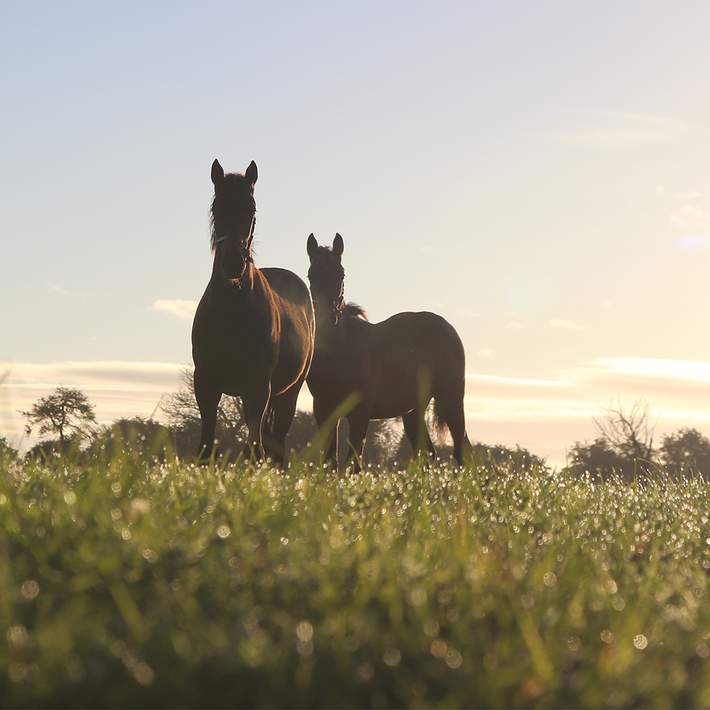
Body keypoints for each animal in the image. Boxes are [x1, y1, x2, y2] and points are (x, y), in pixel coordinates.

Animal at [195, 159, 318, 464]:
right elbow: (205, 446)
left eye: (251, 209)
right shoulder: (205, 384)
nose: (232, 263)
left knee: (276, 443)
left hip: (287, 394)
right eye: (216, 207)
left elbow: (254, 448)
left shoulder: (259, 387)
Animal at [306, 231, 472, 470]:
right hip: (413, 410)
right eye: (311, 275)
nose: (327, 317)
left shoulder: (360, 413)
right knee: (428, 452)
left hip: (451, 399)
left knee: (461, 450)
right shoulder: (323, 410)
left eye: (341, 274)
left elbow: (353, 462)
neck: (342, 349)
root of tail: (446, 327)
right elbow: (330, 460)